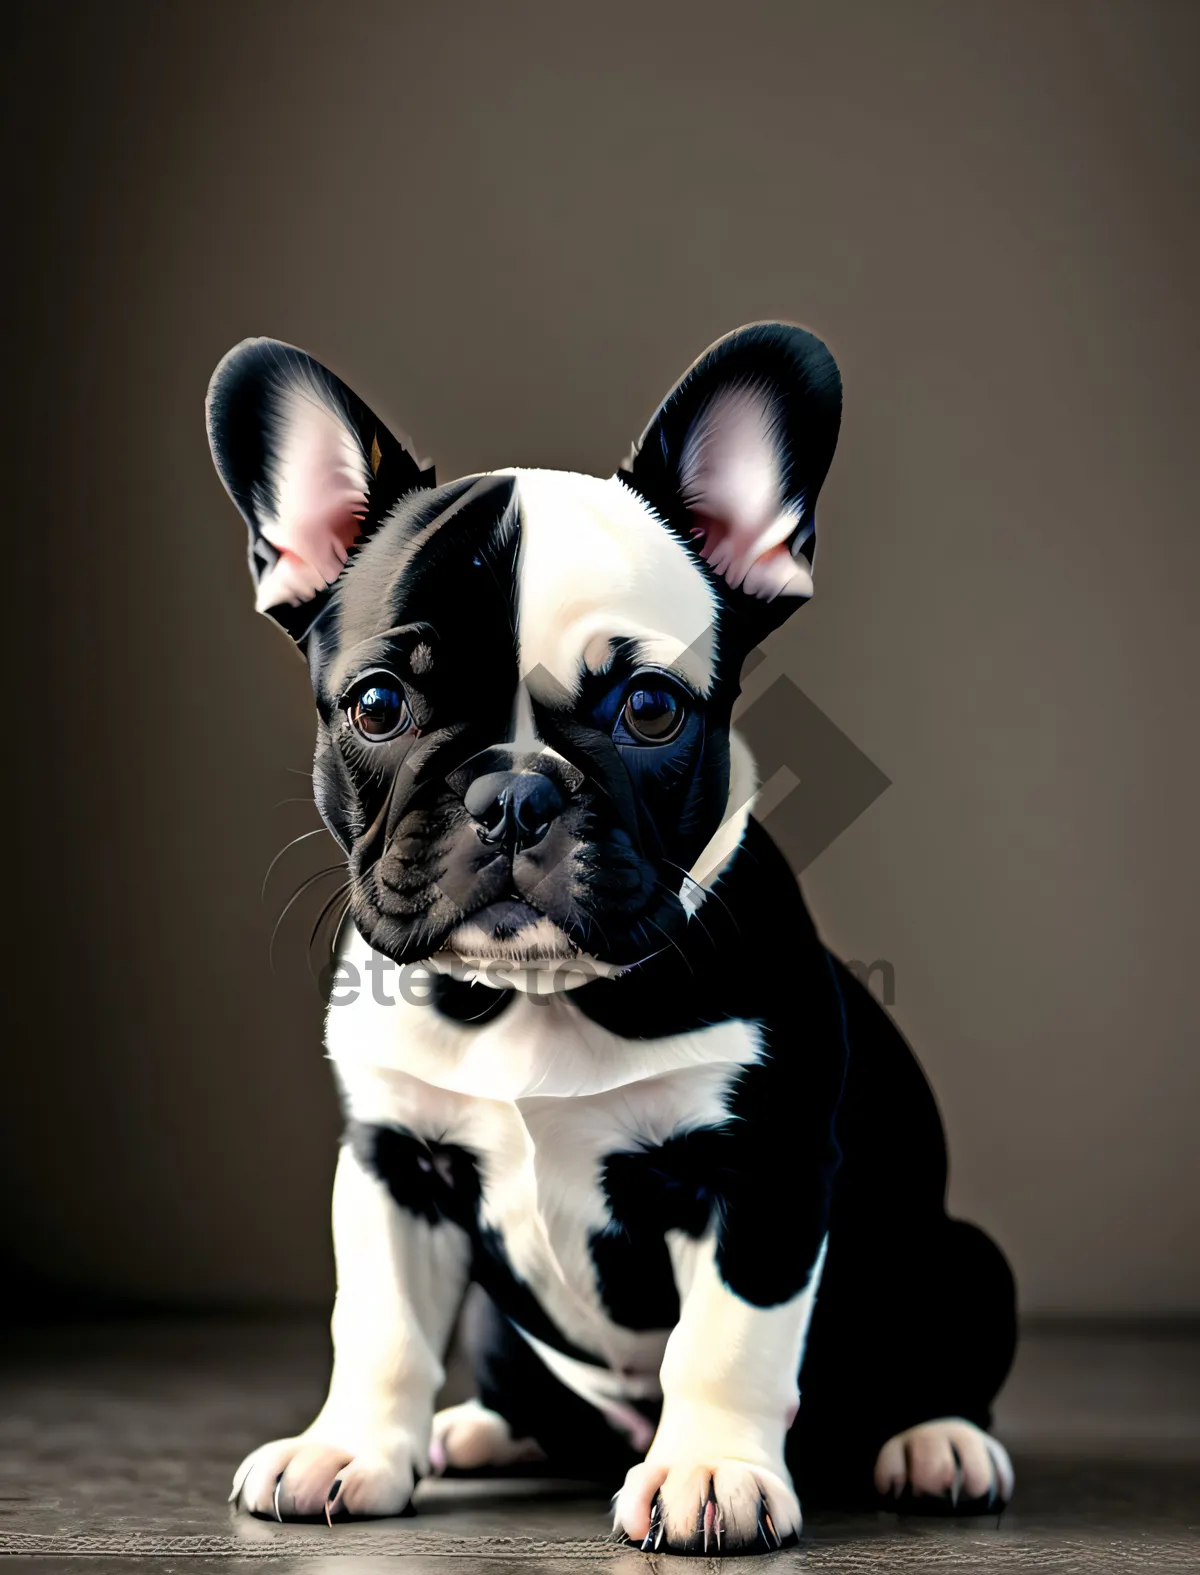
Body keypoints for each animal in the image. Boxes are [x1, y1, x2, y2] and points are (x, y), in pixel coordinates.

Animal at [206, 326, 1007, 1556]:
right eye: (379, 705)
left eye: (650, 709)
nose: (514, 793)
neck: (534, 995)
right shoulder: (392, 1164)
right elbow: (379, 1326)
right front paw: (349, 1450)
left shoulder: (760, 1173)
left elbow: (725, 1341)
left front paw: (712, 1471)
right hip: (506, 1328)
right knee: (535, 1395)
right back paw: (481, 1431)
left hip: (965, 1263)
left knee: (934, 1367)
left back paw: (935, 1442)